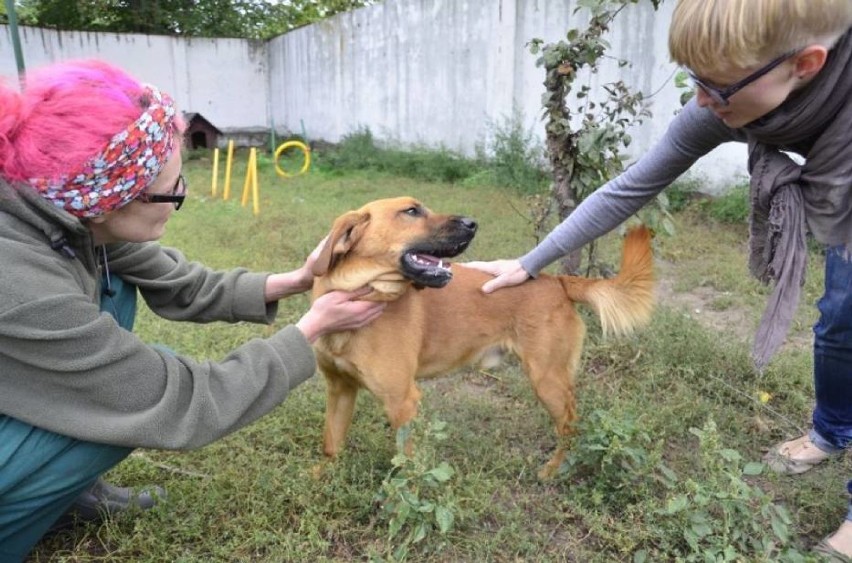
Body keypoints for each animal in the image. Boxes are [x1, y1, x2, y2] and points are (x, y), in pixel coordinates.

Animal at [312, 196, 652, 478]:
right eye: (411, 211)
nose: (472, 223)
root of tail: (557, 280)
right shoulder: (340, 389)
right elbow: (330, 444)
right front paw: (322, 478)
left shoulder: (402, 401)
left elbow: (407, 465)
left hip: (548, 381)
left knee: (570, 427)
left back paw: (554, 469)